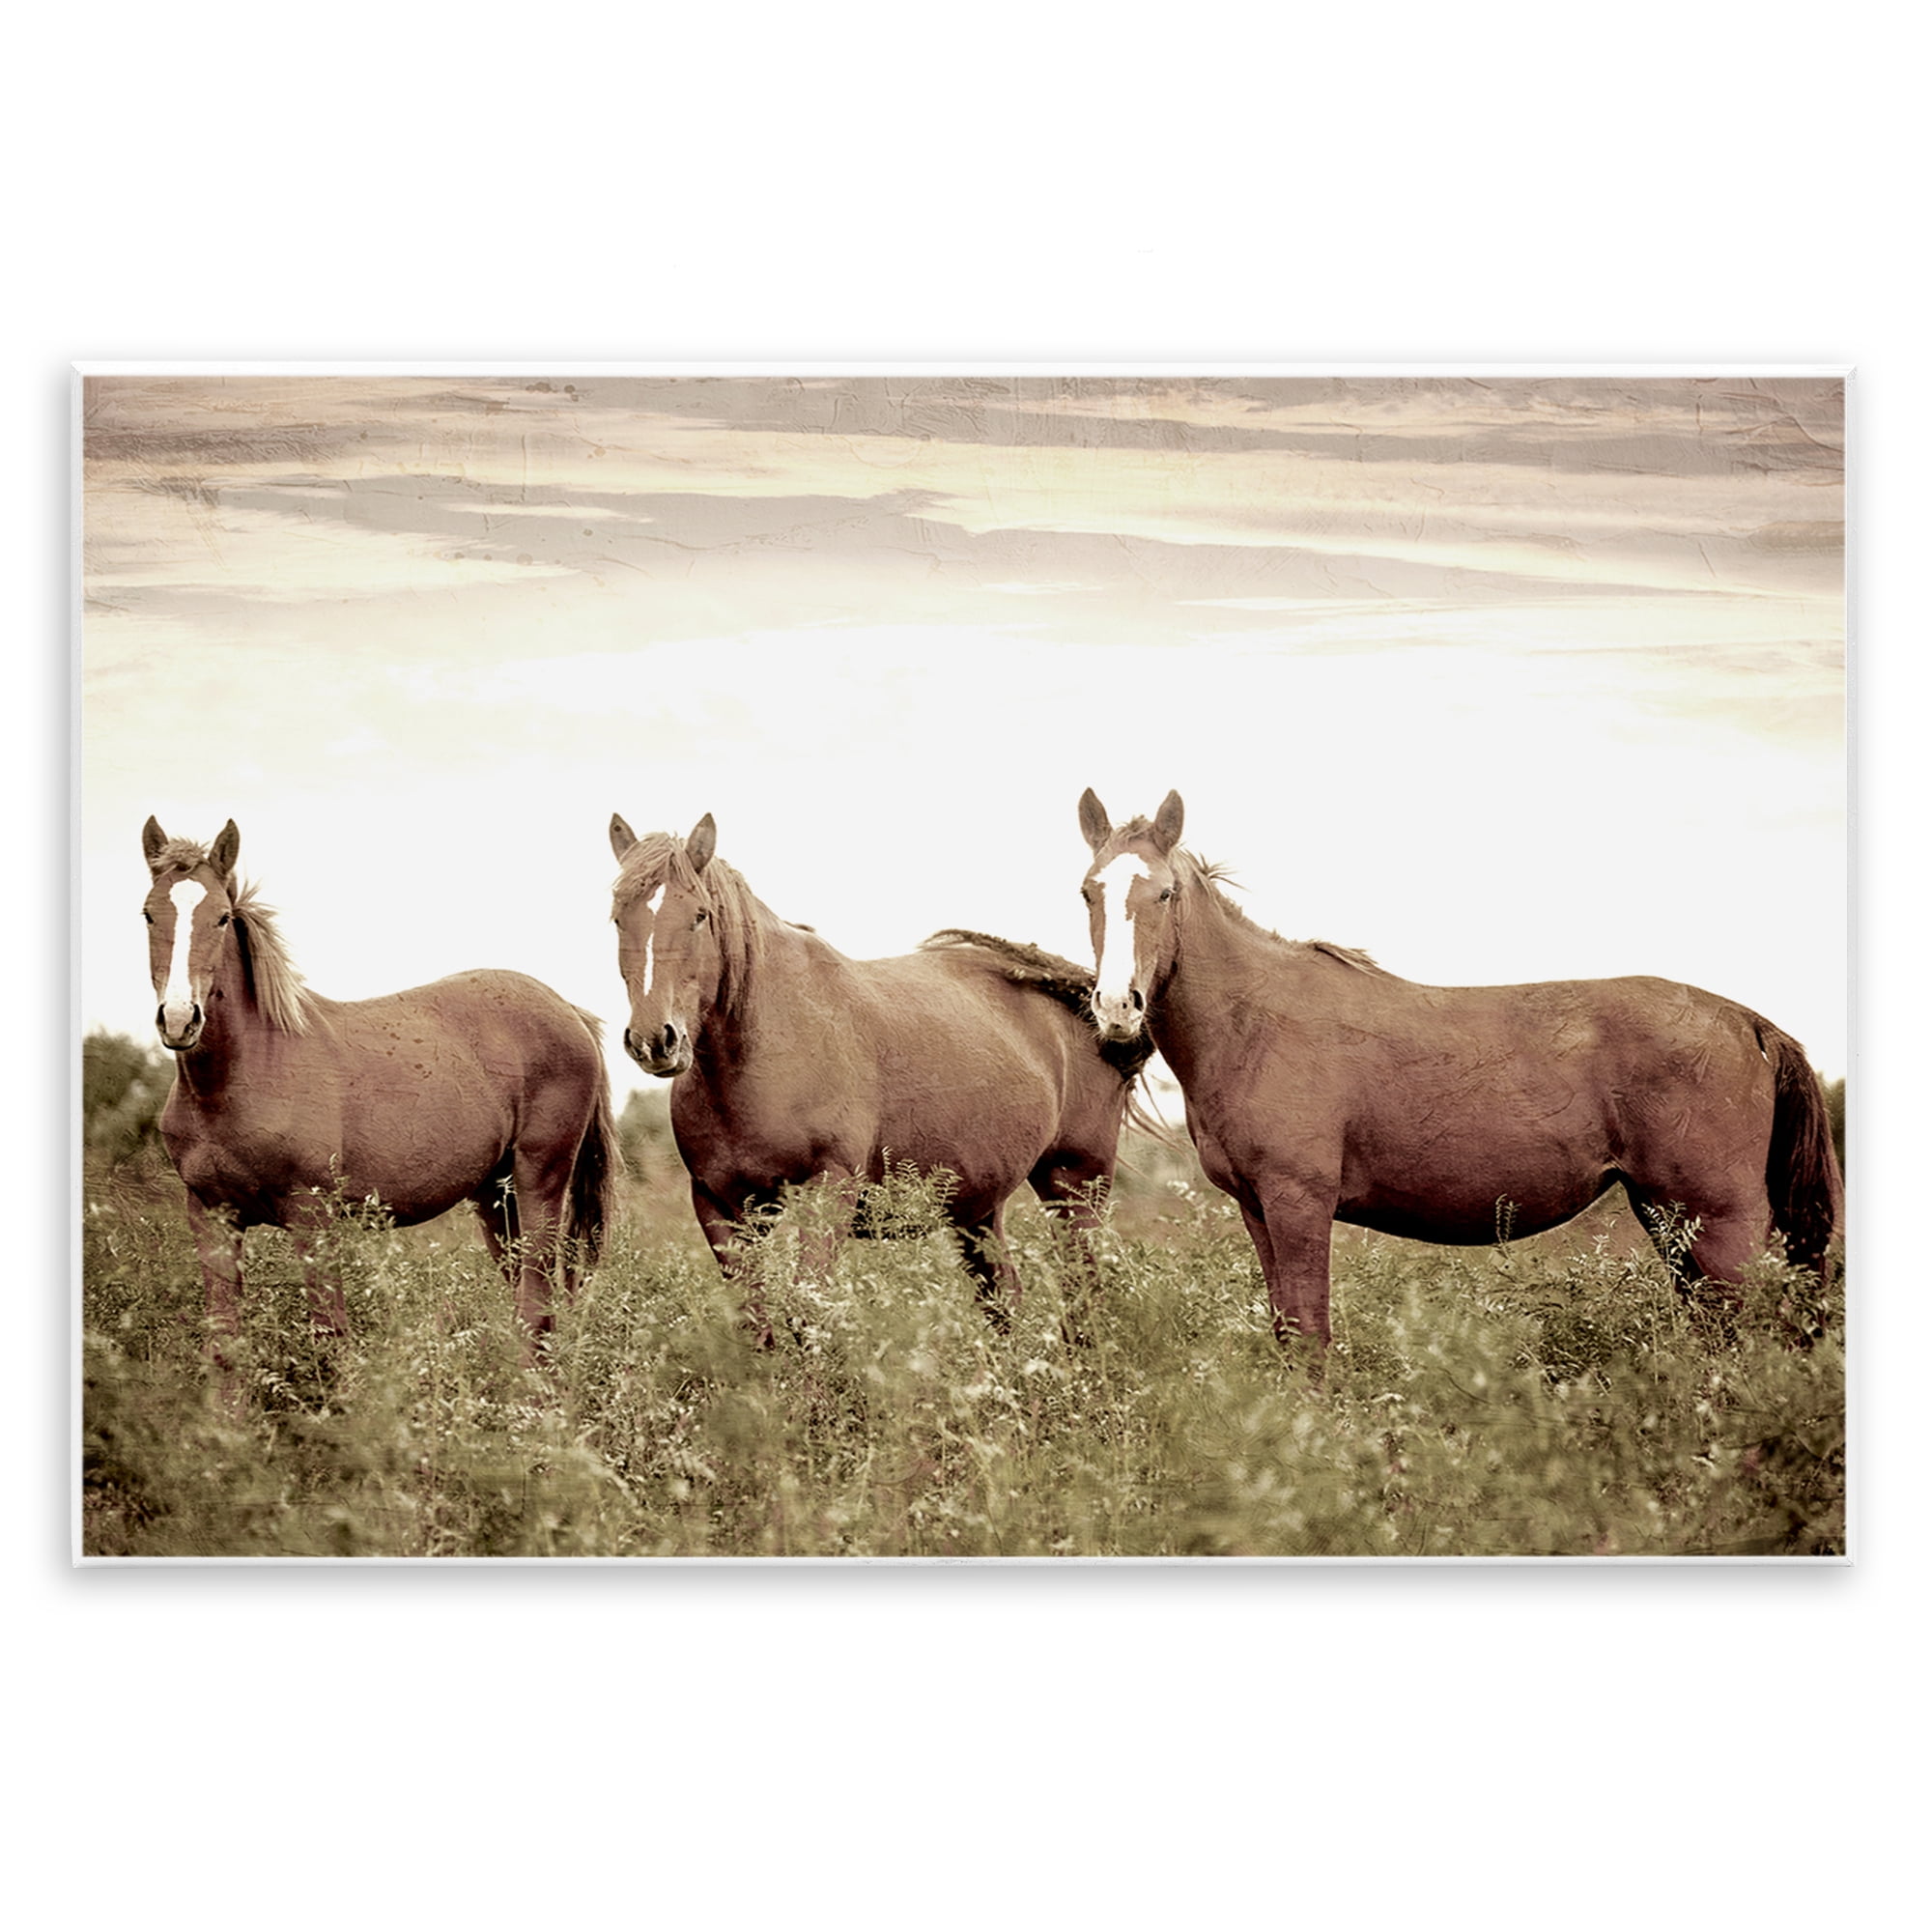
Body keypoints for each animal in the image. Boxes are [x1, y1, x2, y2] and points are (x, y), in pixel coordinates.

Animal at [139, 817, 618, 1366]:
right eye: (148, 914)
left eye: (220, 918)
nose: (179, 1019)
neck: (238, 1079)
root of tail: (569, 1010)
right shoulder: (212, 1218)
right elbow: (224, 1347)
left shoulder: (313, 1218)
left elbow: (330, 1339)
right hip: (496, 1197)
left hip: (540, 1180)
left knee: (536, 1302)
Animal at [607, 811, 1153, 1334]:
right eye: (617, 918)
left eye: (699, 916)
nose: (655, 1040)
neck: (764, 1049)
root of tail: (1093, 1005)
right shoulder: (720, 1206)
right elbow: (756, 1322)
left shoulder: (828, 1192)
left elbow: (808, 1312)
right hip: (977, 1210)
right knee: (1003, 1299)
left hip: (1074, 1187)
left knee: (1082, 1292)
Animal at [1075, 788, 1844, 1350]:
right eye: (1088, 892)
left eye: (1164, 894)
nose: (1116, 1006)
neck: (1255, 1021)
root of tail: (1747, 1022)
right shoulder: (1257, 1208)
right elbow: (1289, 1333)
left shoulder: (1300, 1204)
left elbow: (1313, 1334)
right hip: (1669, 1217)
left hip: (1720, 1221)